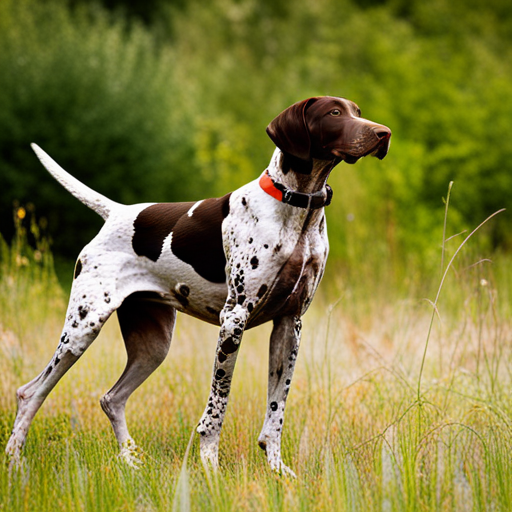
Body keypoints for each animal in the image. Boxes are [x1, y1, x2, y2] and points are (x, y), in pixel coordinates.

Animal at [6, 96, 390, 476]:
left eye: (357, 111)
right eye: (334, 113)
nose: (383, 133)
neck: (296, 207)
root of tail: (118, 212)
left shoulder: (289, 327)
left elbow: (276, 410)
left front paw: (277, 468)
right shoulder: (233, 321)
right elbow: (217, 406)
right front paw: (210, 466)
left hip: (153, 346)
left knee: (111, 399)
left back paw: (130, 459)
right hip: (82, 329)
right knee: (30, 393)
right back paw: (13, 460)